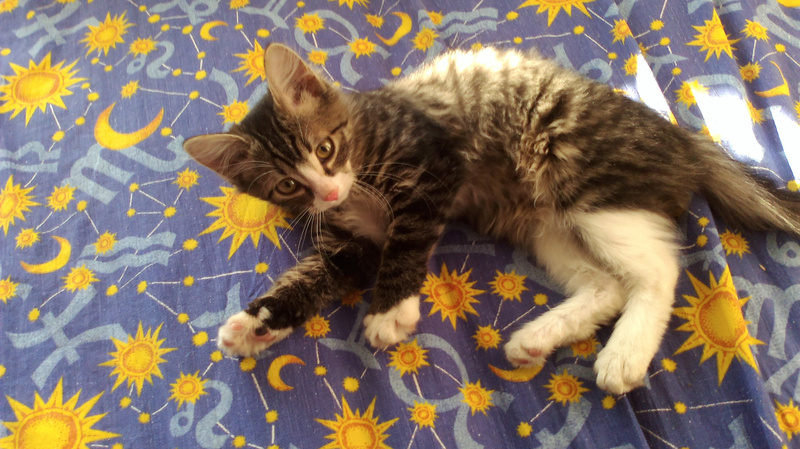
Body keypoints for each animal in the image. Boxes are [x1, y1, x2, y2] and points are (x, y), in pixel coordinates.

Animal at [183, 44, 800, 394]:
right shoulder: (347, 242)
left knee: (658, 270)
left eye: (326, 149)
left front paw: (391, 311)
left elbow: (407, 240)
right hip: (547, 226)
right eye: (289, 184)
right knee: (605, 286)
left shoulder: (433, 166)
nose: (329, 190)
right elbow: (312, 278)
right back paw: (536, 338)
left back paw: (624, 355)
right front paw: (256, 323)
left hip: (581, 181)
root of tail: (680, 137)